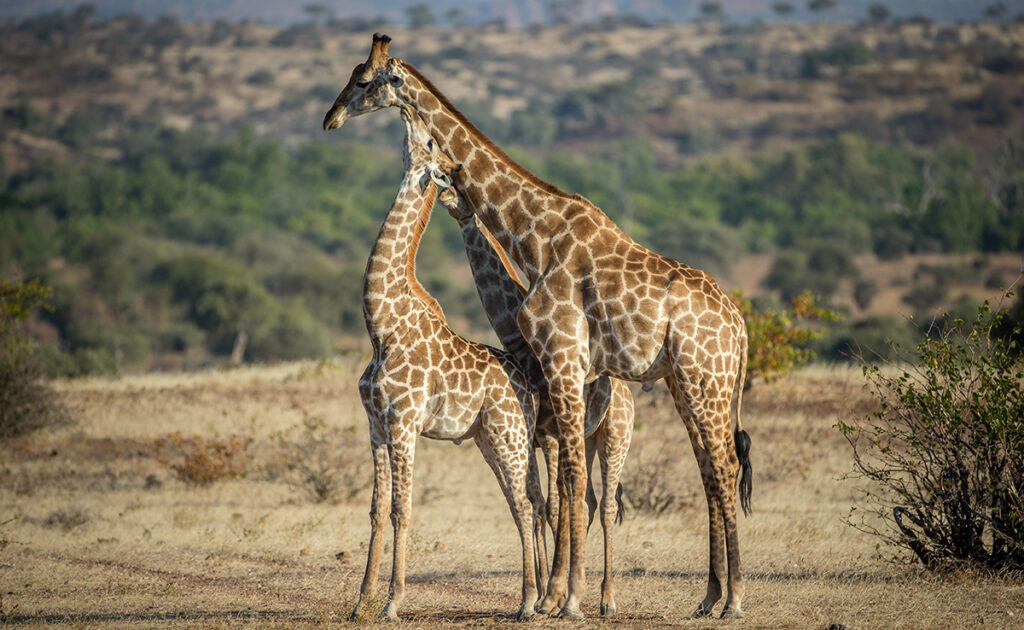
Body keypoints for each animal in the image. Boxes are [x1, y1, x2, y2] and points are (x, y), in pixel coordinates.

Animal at [352, 103, 544, 622]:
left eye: (429, 142)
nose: (409, 109)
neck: (381, 324)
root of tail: (529, 385)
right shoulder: (375, 424)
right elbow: (375, 510)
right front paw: (361, 602)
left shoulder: (404, 420)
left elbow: (402, 509)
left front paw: (392, 603)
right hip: (488, 438)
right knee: (524, 503)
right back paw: (534, 596)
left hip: (507, 434)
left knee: (525, 506)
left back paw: (527, 603)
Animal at [437, 184, 634, 616]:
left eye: (461, 196)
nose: (444, 196)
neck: (520, 343)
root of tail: (626, 392)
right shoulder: (536, 436)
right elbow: (538, 502)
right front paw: (544, 593)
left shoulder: (550, 434)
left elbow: (554, 503)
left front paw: (550, 595)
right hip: (587, 438)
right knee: (587, 500)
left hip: (615, 436)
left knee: (606, 506)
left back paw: (608, 599)